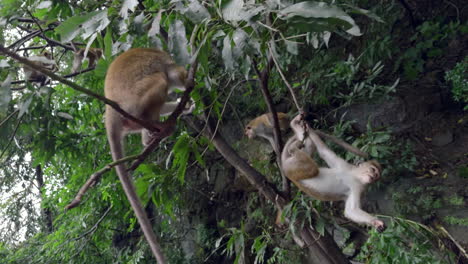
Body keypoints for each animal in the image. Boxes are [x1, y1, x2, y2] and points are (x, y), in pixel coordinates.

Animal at [104, 47, 194, 262]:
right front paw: (188, 84)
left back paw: (150, 134)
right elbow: (174, 75)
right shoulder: (167, 61)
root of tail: (111, 110)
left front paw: (186, 105)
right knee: (161, 79)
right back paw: (156, 126)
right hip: (135, 101)